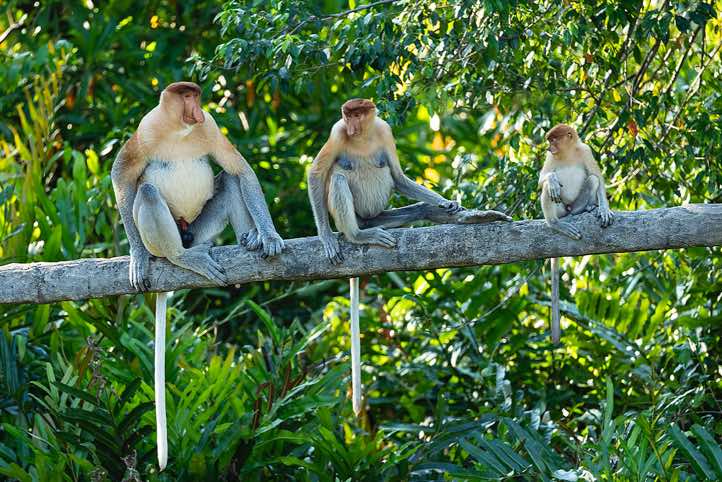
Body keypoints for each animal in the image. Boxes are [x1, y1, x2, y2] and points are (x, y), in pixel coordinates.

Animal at [111, 81, 284, 470]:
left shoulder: (211, 129)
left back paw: (248, 240)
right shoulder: (146, 130)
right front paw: (137, 258)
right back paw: (179, 256)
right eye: (187, 96)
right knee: (146, 192)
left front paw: (268, 235)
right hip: (167, 233)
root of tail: (187, 234)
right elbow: (122, 176)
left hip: (202, 227)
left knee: (229, 181)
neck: (179, 129)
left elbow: (241, 170)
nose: (198, 110)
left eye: (197, 96)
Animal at [308, 98, 511, 415]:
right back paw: (357, 235)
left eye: (358, 114)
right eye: (346, 116)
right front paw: (326, 239)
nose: (352, 125)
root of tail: (367, 221)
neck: (362, 136)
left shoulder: (384, 131)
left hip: (383, 215)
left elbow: (398, 176)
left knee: (416, 208)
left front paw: (447, 203)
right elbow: (317, 175)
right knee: (338, 178)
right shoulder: (336, 133)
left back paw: (468, 217)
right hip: (355, 215)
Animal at [539, 123, 613, 344]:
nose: (549, 148)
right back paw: (555, 223)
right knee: (547, 190)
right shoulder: (551, 159)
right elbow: (542, 179)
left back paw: (587, 209)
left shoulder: (585, 151)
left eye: (553, 140)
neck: (568, 153)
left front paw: (604, 210)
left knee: (592, 180)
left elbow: (598, 178)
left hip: (575, 205)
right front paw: (552, 180)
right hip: (560, 210)